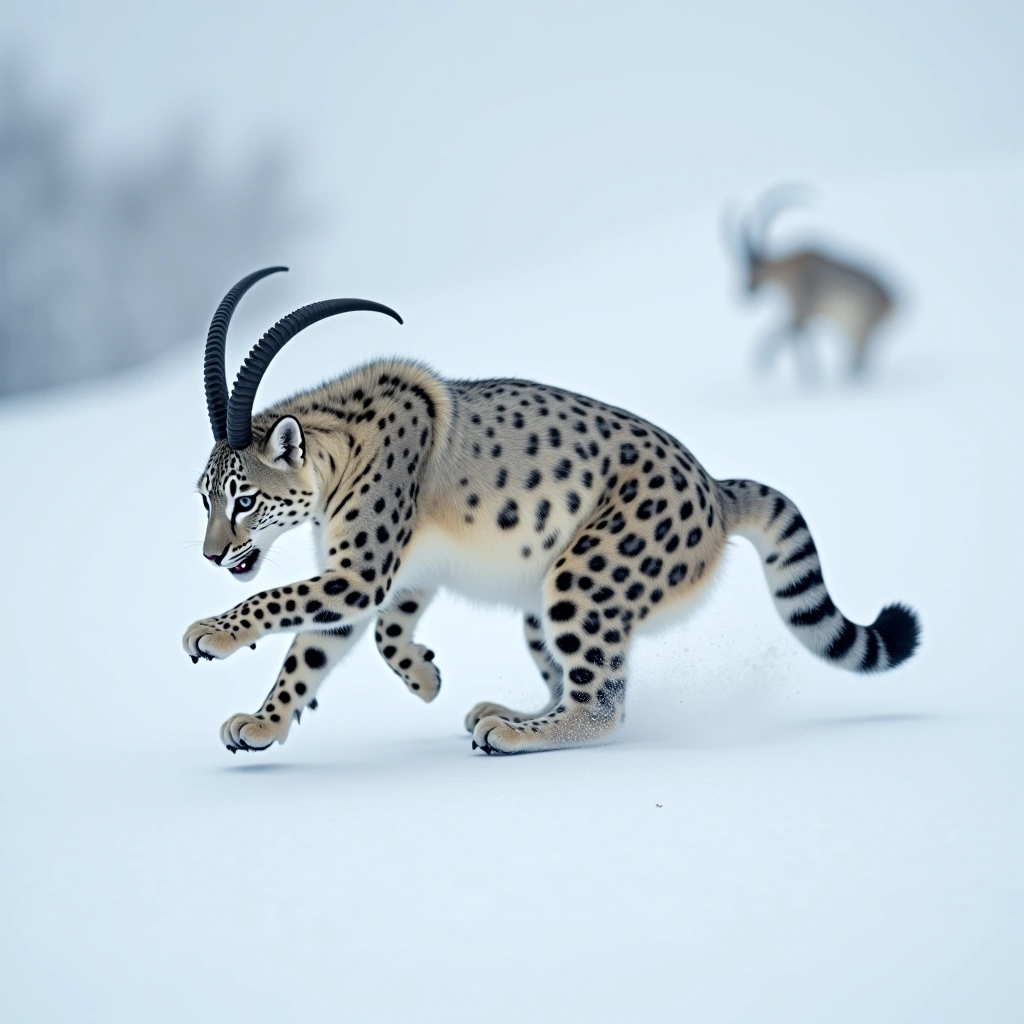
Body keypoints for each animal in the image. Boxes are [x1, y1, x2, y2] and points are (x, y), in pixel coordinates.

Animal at [185, 267, 920, 755]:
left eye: (244, 498)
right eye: (203, 495)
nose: (213, 555)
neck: (346, 449)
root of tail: (714, 487)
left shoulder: (359, 573)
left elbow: (280, 604)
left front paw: (209, 634)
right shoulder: (385, 578)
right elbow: (323, 649)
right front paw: (274, 721)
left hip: (582, 581)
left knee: (602, 706)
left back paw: (507, 731)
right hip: (542, 605)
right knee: (576, 686)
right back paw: (507, 710)